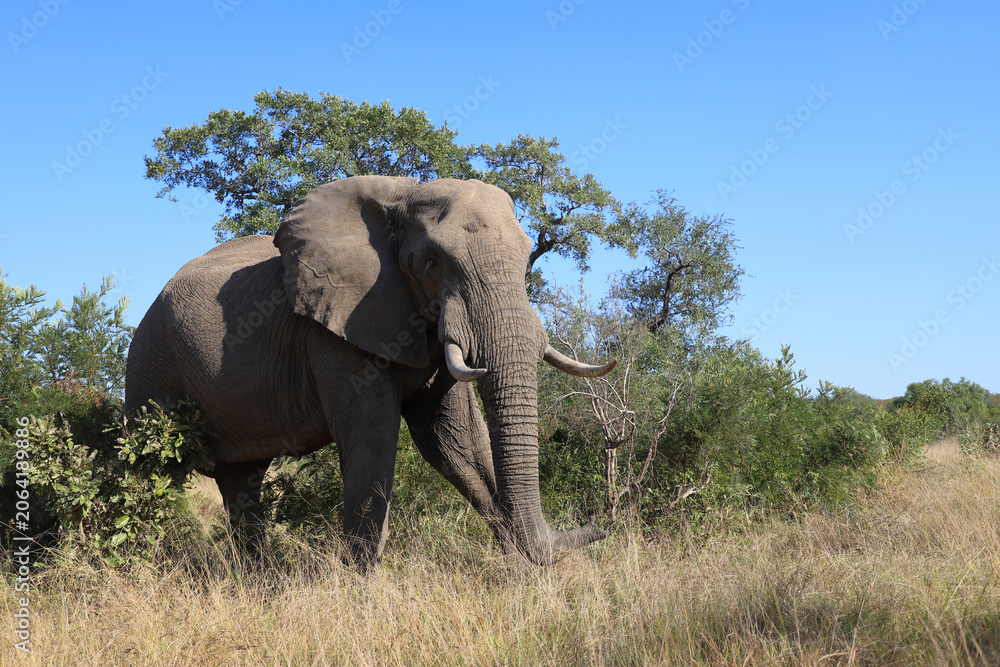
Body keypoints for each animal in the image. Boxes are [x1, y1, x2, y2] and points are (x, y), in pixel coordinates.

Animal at [124, 175, 615, 568]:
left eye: (528, 255)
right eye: (432, 263)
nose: (598, 526)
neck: (403, 197)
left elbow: (457, 443)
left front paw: (523, 574)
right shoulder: (335, 327)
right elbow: (373, 436)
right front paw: (358, 588)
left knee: (240, 483)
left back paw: (259, 577)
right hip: (151, 362)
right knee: (145, 472)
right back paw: (136, 568)